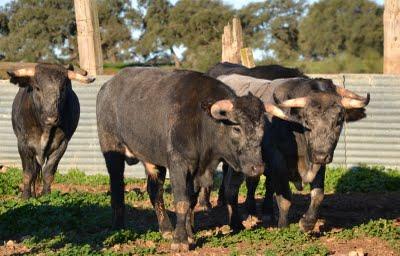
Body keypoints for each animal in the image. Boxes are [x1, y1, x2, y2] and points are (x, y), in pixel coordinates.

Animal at [202, 63, 370, 231]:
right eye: (307, 121)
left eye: (339, 121)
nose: (321, 155)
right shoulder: (277, 160)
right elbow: (285, 197)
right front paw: (283, 226)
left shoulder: (318, 161)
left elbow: (318, 194)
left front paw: (307, 223)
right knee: (227, 184)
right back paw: (209, 205)